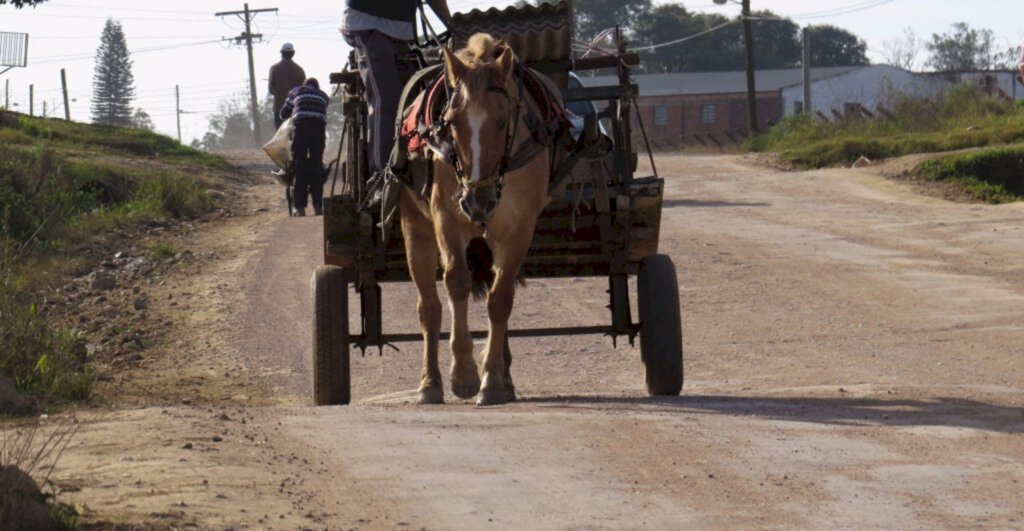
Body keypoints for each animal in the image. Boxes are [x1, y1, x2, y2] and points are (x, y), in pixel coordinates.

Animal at [395, 34, 552, 407]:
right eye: (452, 122)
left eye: (503, 119)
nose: (477, 201)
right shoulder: (446, 218)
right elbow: (456, 282)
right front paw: (464, 374)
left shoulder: (520, 229)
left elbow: (500, 299)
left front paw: (492, 379)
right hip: (416, 228)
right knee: (429, 307)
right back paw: (429, 383)